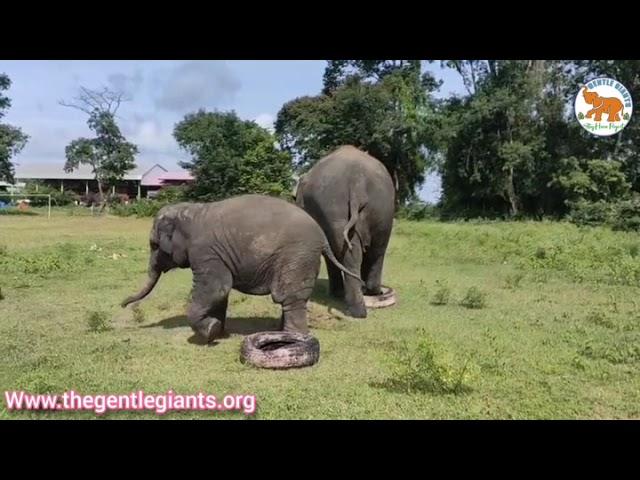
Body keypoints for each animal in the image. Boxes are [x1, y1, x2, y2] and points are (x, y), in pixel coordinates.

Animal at [120, 193, 360, 344]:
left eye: (154, 245)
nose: (122, 304)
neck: (191, 211)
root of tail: (322, 237)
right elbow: (219, 294)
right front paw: (217, 330)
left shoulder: (205, 252)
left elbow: (216, 288)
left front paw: (210, 331)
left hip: (297, 255)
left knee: (289, 298)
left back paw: (294, 337)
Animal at [296, 146, 396, 318]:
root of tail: (357, 182)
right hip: (375, 209)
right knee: (374, 250)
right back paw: (363, 303)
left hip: (341, 206)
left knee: (363, 251)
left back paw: (355, 301)